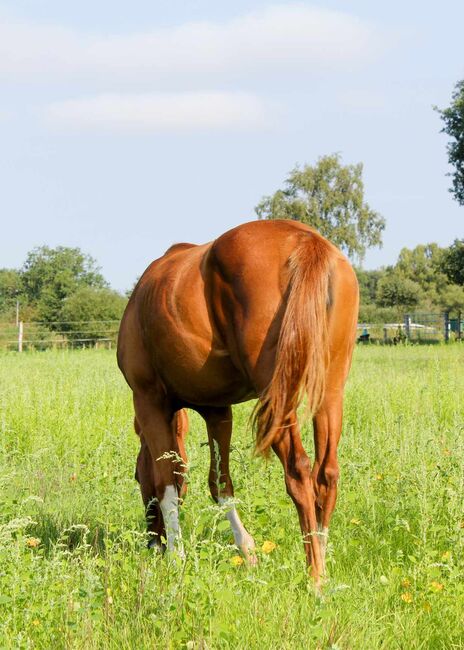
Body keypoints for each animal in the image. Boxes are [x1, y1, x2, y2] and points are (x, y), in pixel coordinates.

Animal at [117, 219, 358, 584]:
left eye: (135, 475)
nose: (153, 543)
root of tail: (306, 241)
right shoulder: (217, 410)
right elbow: (220, 483)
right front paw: (247, 551)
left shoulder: (149, 402)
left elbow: (167, 481)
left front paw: (176, 558)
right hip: (330, 391)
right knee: (326, 475)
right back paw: (322, 558)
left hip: (278, 397)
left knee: (299, 472)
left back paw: (315, 576)